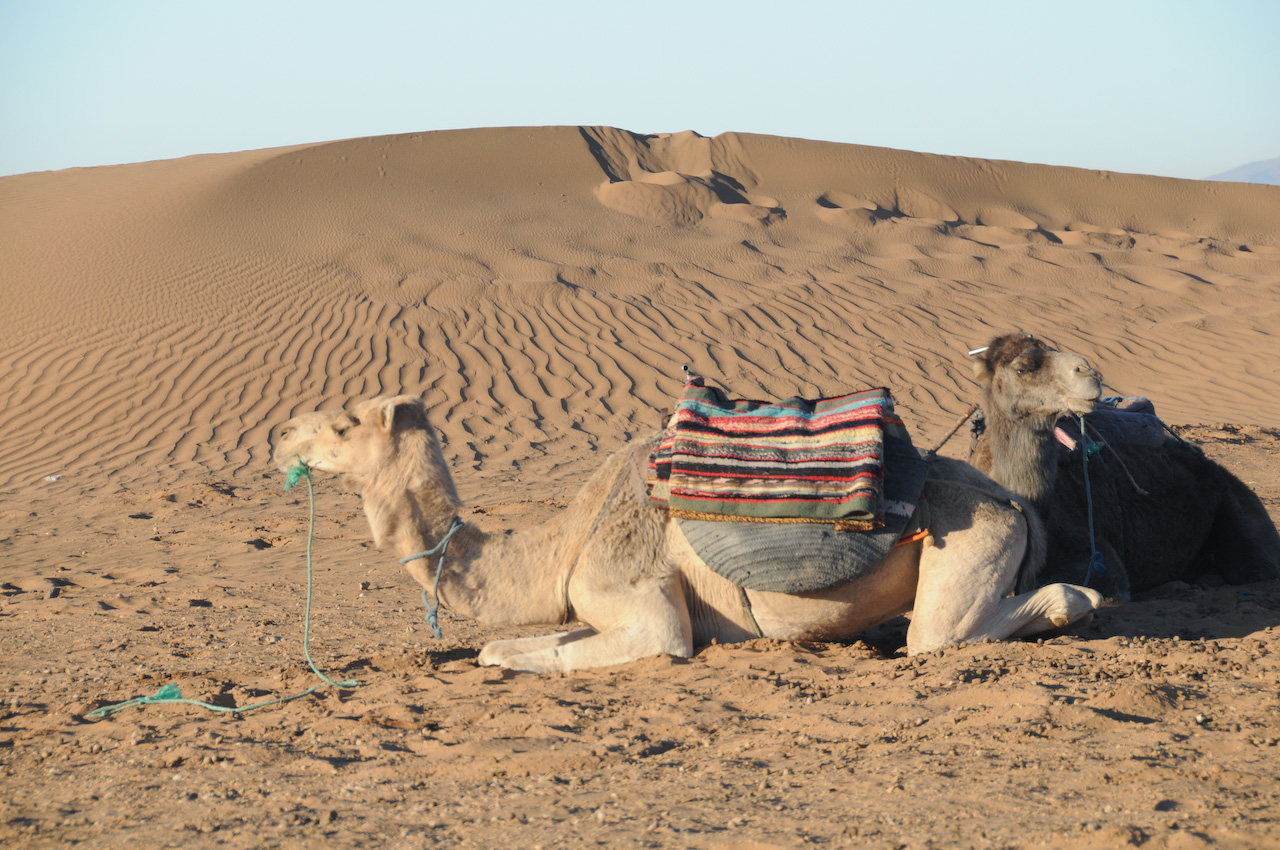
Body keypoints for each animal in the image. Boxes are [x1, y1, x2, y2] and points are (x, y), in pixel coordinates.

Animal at [272, 394, 1103, 673]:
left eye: (343, 424)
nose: (280, 435)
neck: (565, 540)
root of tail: (1013, 502)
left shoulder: (646, 608)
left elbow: (520, 653)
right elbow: (511, 647)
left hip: (972, 542)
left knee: (942, 635)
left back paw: (1079, 600)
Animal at [970, 333, 1280, 599]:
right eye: (1022, 369)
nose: (1089, 373)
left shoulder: (1098, 559)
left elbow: (1107, 582)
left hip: (1236, 504)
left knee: (1256, 567)